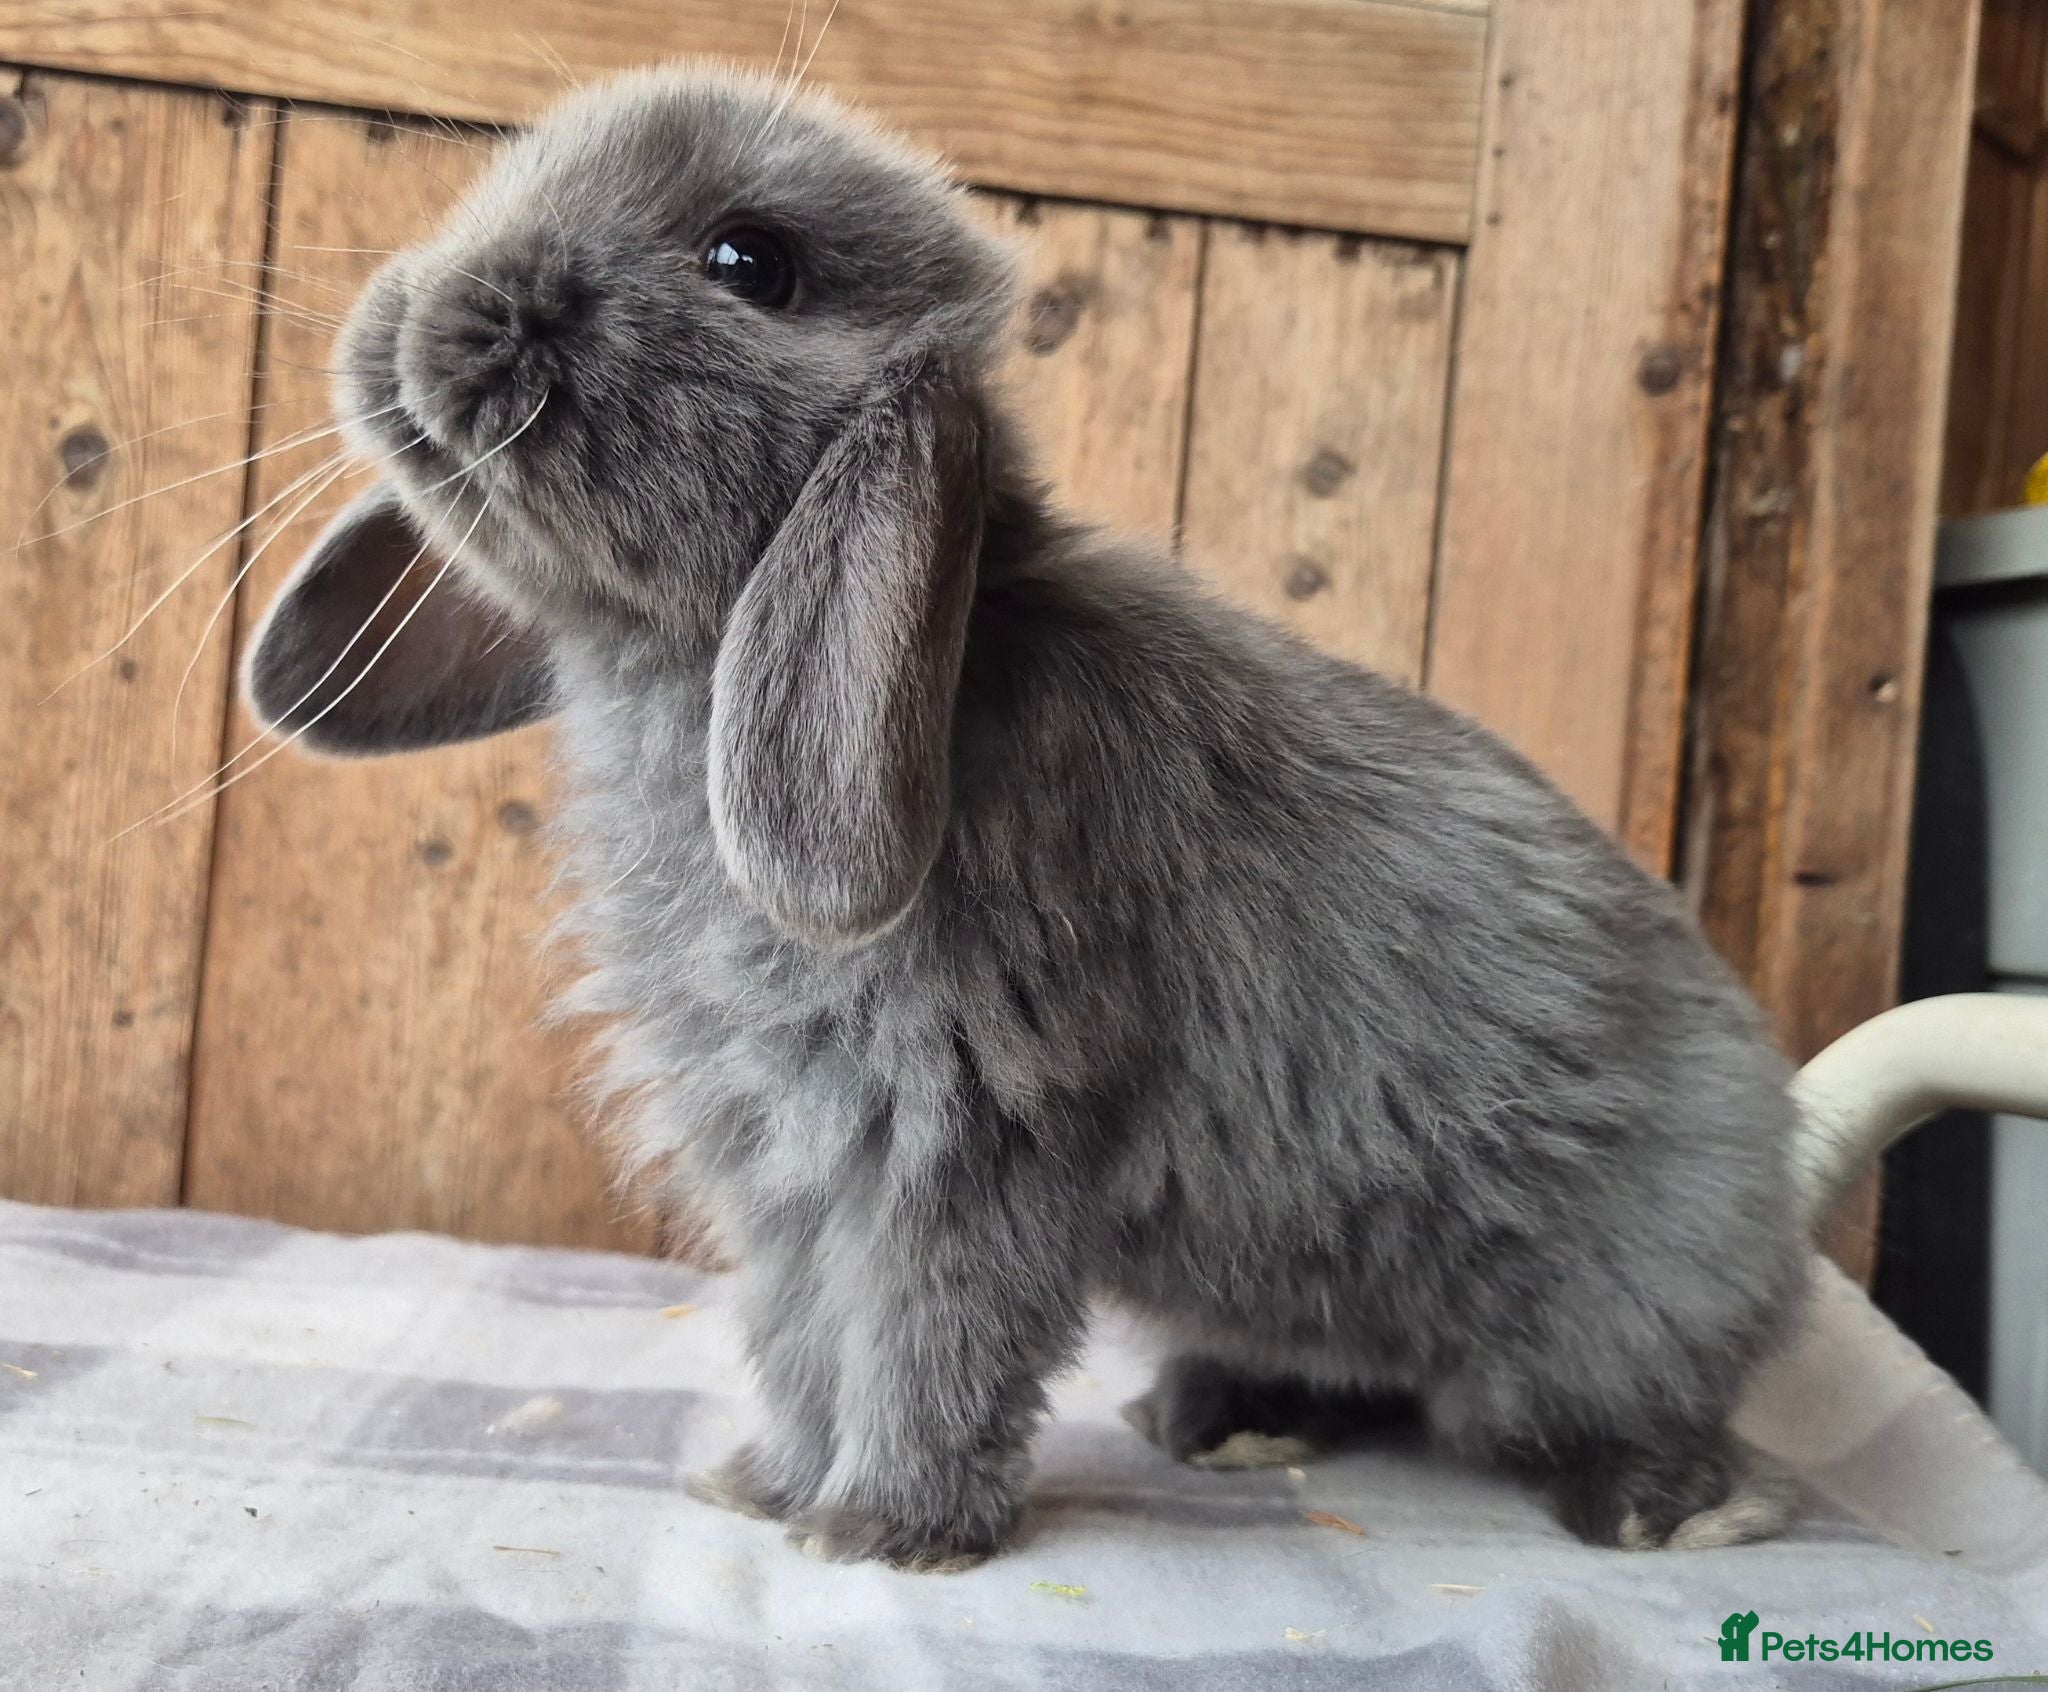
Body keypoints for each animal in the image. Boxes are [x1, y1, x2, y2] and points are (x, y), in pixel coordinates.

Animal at [243, 64, 1811, 1571]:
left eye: (750, 261)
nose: (429, 304)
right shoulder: (785, 1165)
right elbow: (803, 1342)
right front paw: (768, 1486)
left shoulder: (956, 1139)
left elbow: (928, 1342)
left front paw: (882, 1534)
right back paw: (1221, 1419)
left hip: (1617, 1304)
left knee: (1615, 1411)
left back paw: (1665, 1509)